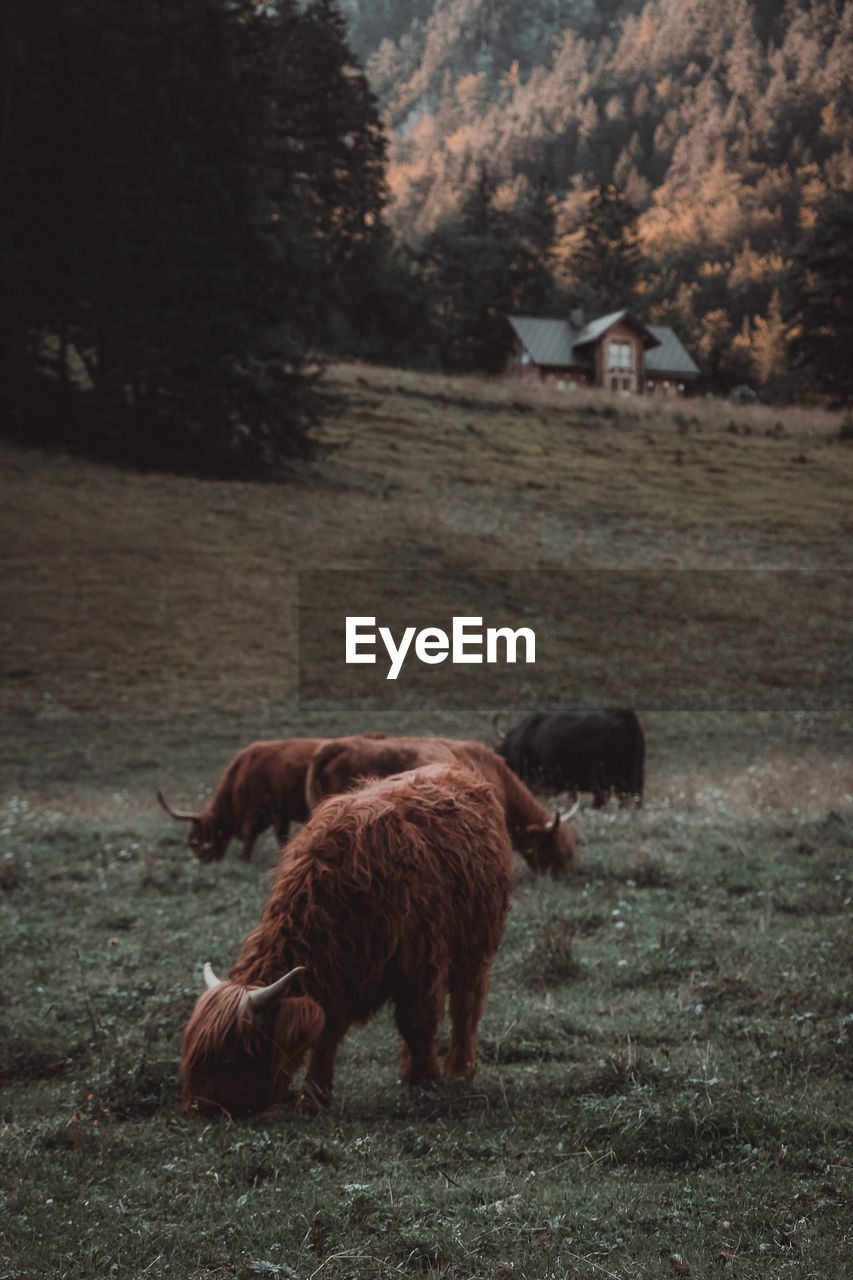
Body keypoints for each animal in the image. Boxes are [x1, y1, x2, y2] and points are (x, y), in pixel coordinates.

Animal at [154, 737, 326, 865]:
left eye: (195, 841)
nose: (200, 862)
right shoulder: (281, 814)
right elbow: (282, 839)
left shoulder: (255, 812)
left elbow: (250, 836)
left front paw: (244, 858)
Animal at [180, 762, 512, 1116]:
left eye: (231, 1057)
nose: (198, 1108)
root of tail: (456, 769)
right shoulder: (337, 969)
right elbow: (330, 1027)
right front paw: (314, 1097)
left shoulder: (421, 963)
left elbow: (417, 1022)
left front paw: (426, 1080)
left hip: (475, 943)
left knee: (466, 1004)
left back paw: (460, 1069)